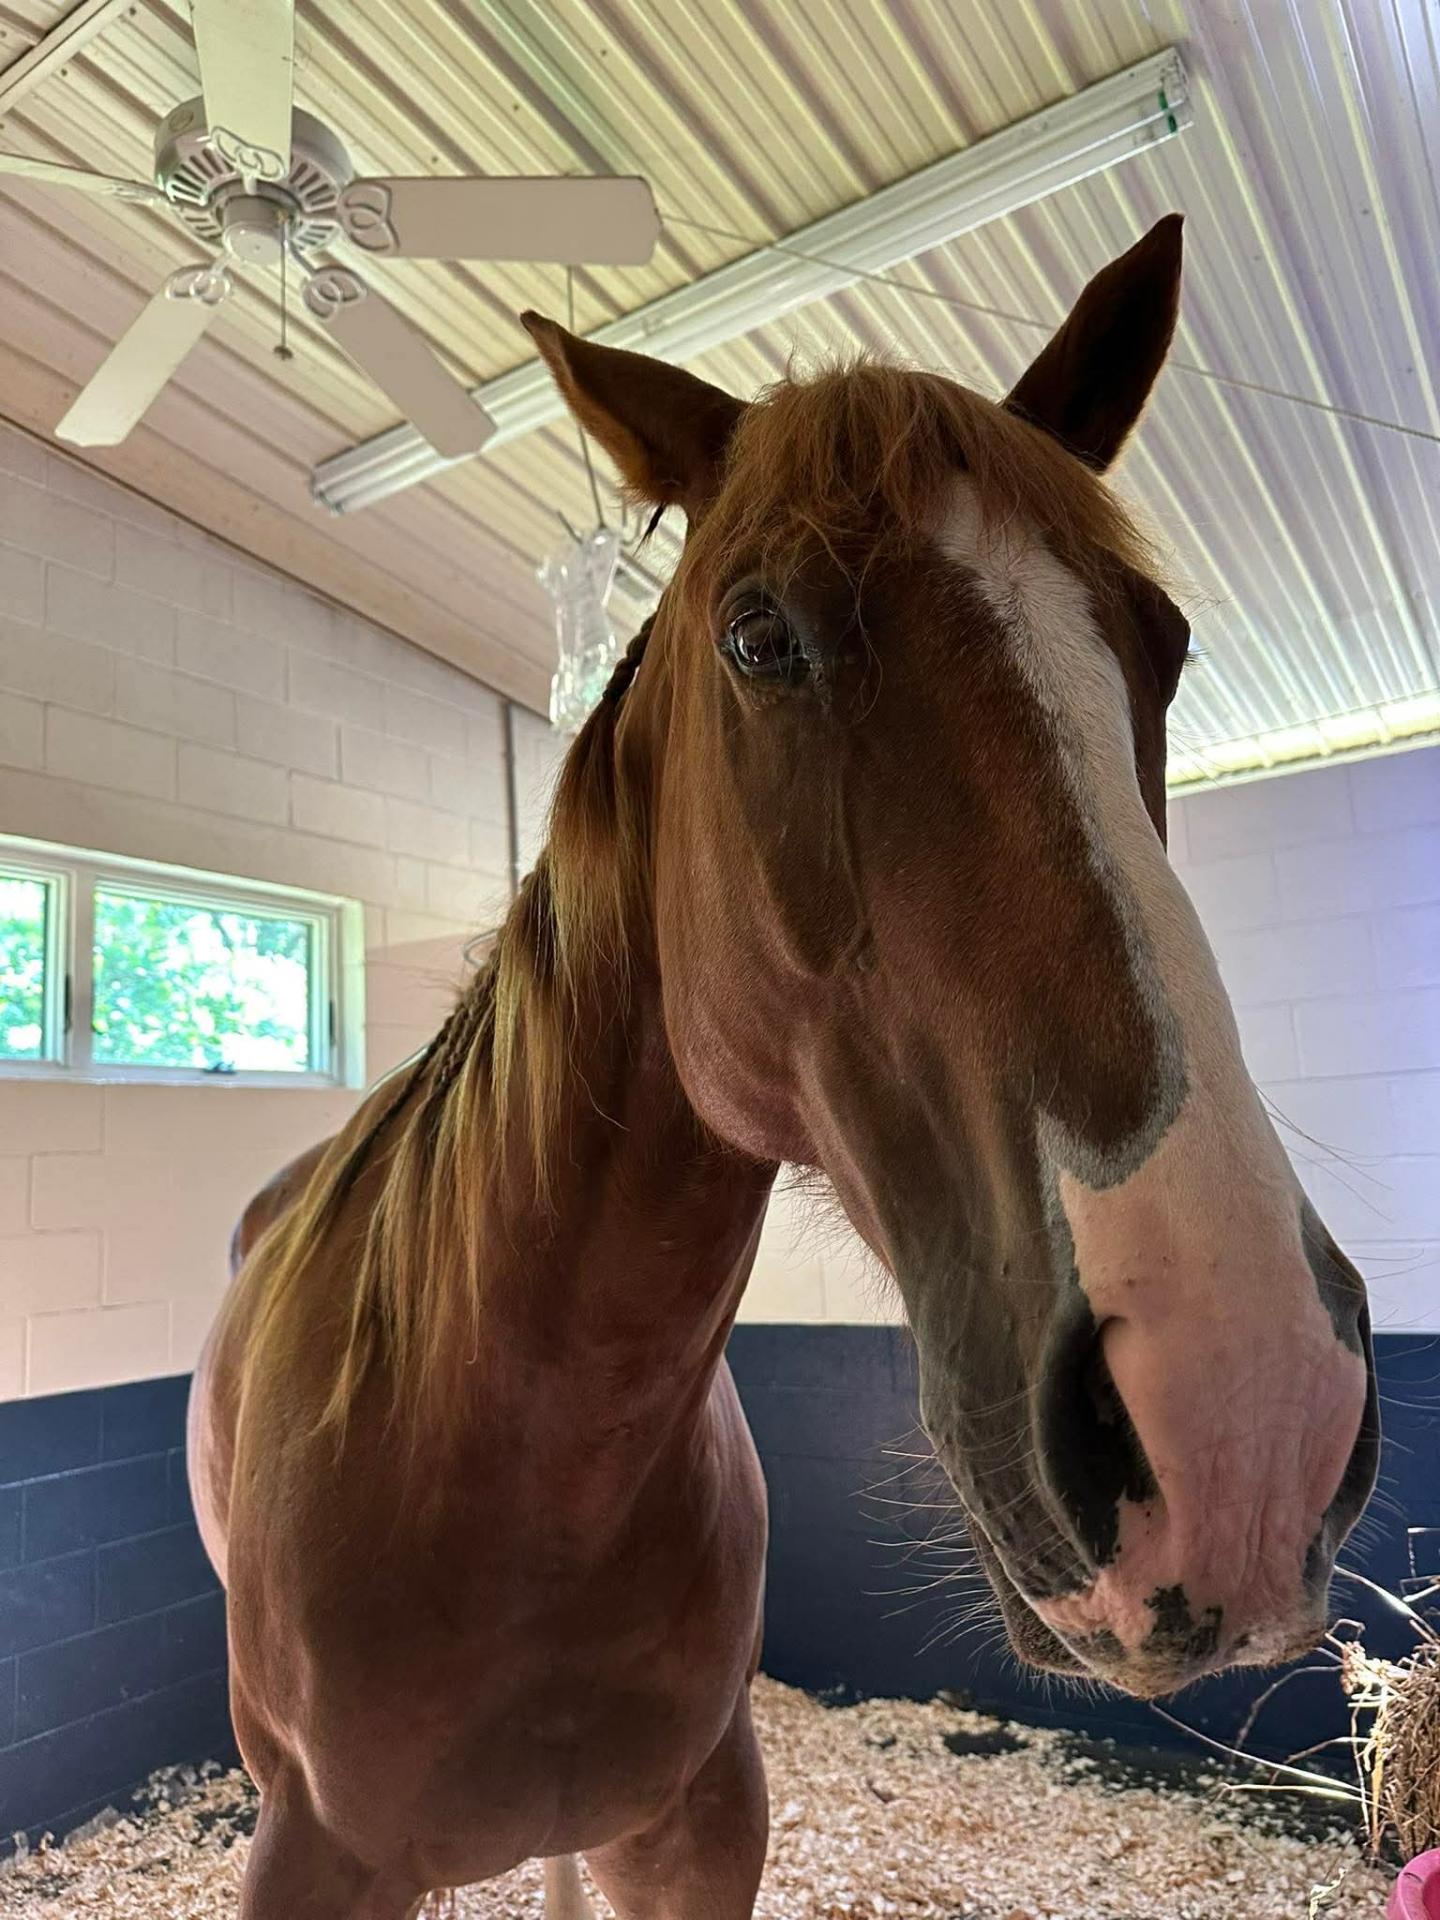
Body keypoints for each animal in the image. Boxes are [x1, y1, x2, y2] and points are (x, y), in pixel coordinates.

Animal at [189, 214, 1378, 1918]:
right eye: (759, 637)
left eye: (1163, 646)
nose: (1249, 1410)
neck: (510, 1462)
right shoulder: (314, 1856)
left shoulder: (697, 1830)